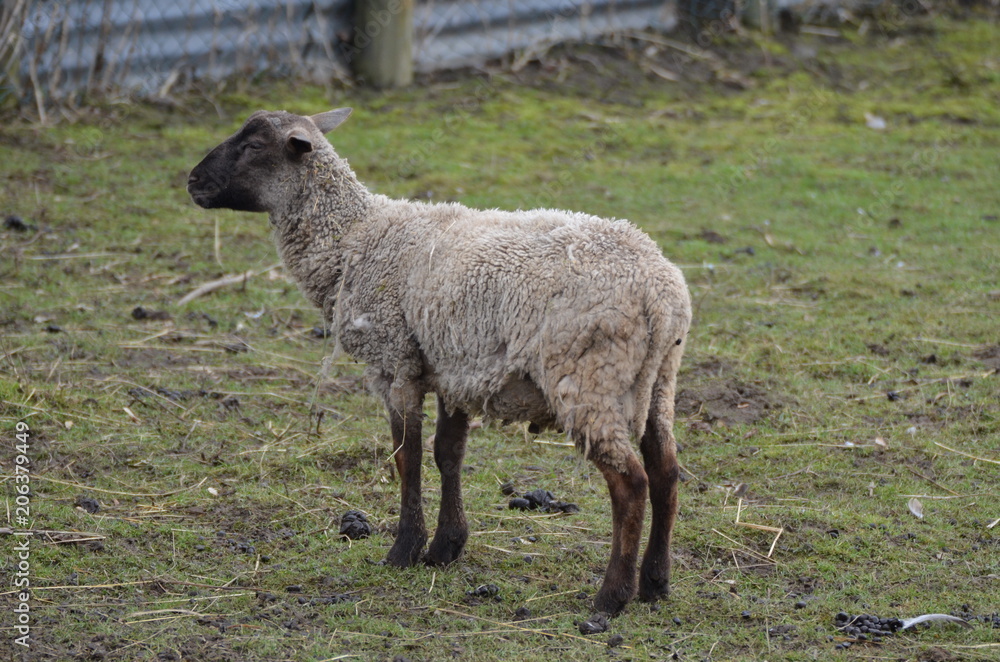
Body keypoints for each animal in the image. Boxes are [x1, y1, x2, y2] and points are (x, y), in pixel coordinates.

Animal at [187, 108, 692, 617]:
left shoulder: (395, 362)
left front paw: (405, 549)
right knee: (666, 472)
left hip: (589, 377)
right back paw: (656, 582)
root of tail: (660, 292)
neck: (353, 237)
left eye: (254, 146)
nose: (192, 181)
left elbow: (405, 456)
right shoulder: (455, 369)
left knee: (630, 483)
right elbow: (447, 454)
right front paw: (445, 547)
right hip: (659, 382)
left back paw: (612, 595)